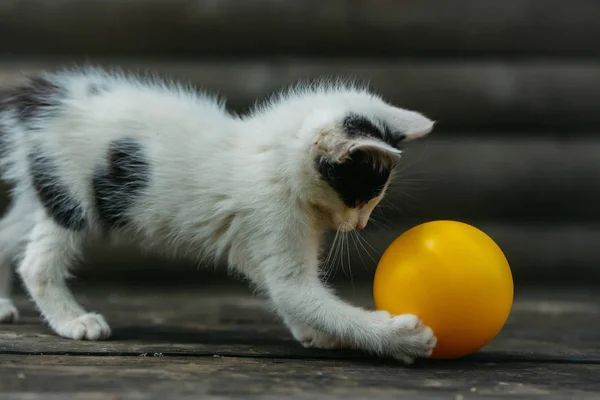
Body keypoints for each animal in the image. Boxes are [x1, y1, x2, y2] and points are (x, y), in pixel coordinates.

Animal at [0, 68, 436, 362]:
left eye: (373, 199)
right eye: (361, 196)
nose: (360, 224)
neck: (271, 157)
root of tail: (41, 97)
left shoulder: (259, 240)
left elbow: (279, 291)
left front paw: (310, 331)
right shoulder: (272, 214)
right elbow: (295, 295)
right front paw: (401, 338)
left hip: (43, 188)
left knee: (8, 232)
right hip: (72, 192)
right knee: (35, 264)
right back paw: (73, 321)